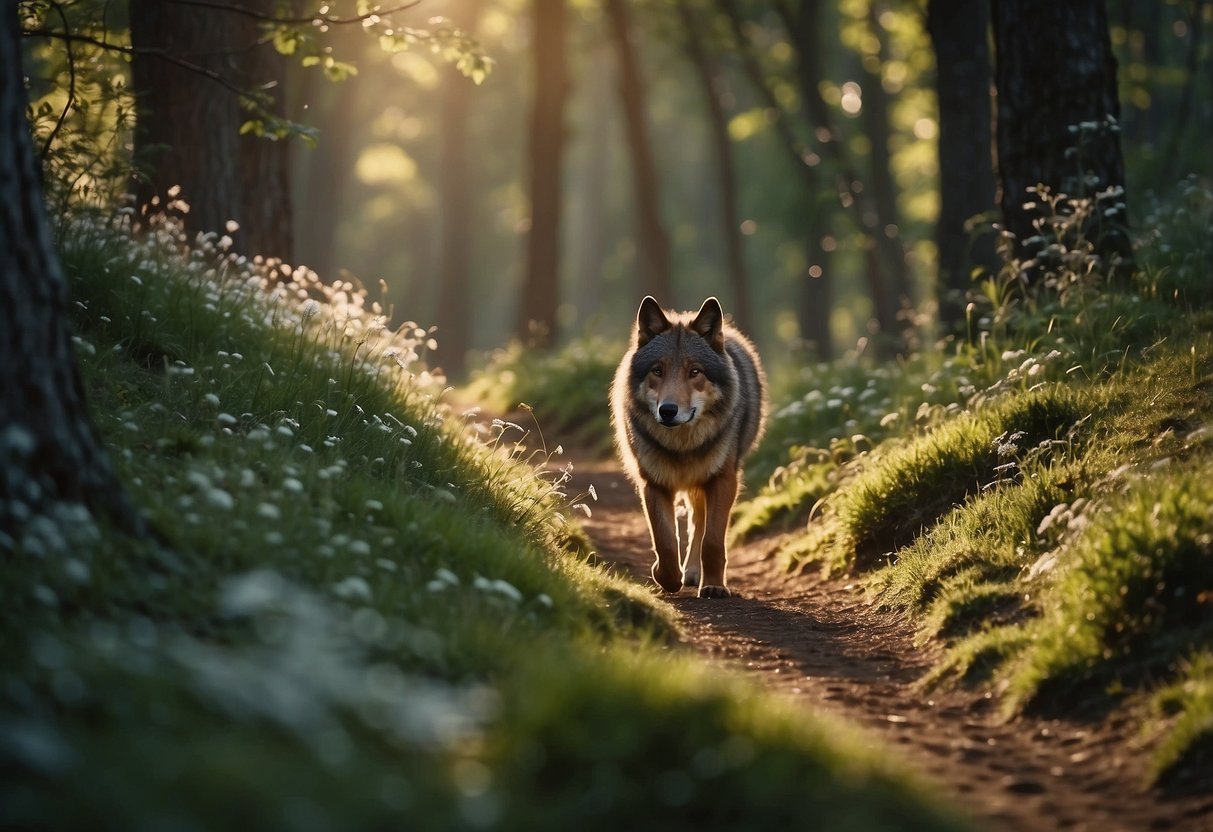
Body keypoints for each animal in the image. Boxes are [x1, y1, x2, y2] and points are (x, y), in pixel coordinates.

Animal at [611, 297, 761, 596]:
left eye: (695, 372)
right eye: (657, 370)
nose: (668, 411)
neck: (682, 446)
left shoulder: (723, 480)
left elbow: (712, 541)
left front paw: (714, 585)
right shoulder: (654, 484)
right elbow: (666, 542)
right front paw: (666, 577)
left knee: (699, 525)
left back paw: (695, 574)